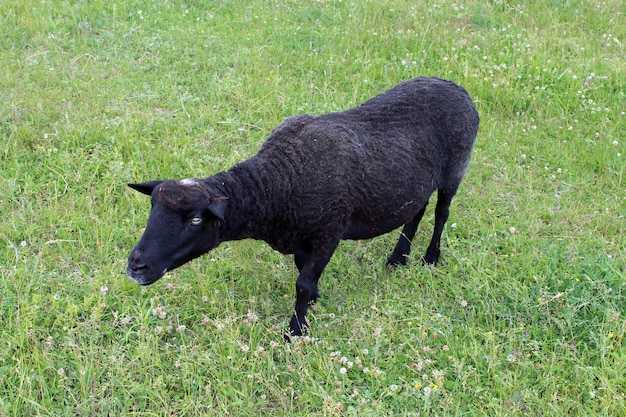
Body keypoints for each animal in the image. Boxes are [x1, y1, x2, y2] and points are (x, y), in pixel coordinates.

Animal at [127, 76, 478, 338]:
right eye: (152, 209)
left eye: (196, 220)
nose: (135, 267)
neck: (278, 183)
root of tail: (456, 87)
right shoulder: (300, 238)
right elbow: (302, 273)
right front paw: (314, 303)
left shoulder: (329, 232)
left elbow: (302, 284)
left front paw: (296, 331)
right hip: (417, 180)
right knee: (415, 211)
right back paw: (397, 258)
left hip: (455, 169)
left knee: (441, 214)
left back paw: (430, 257)